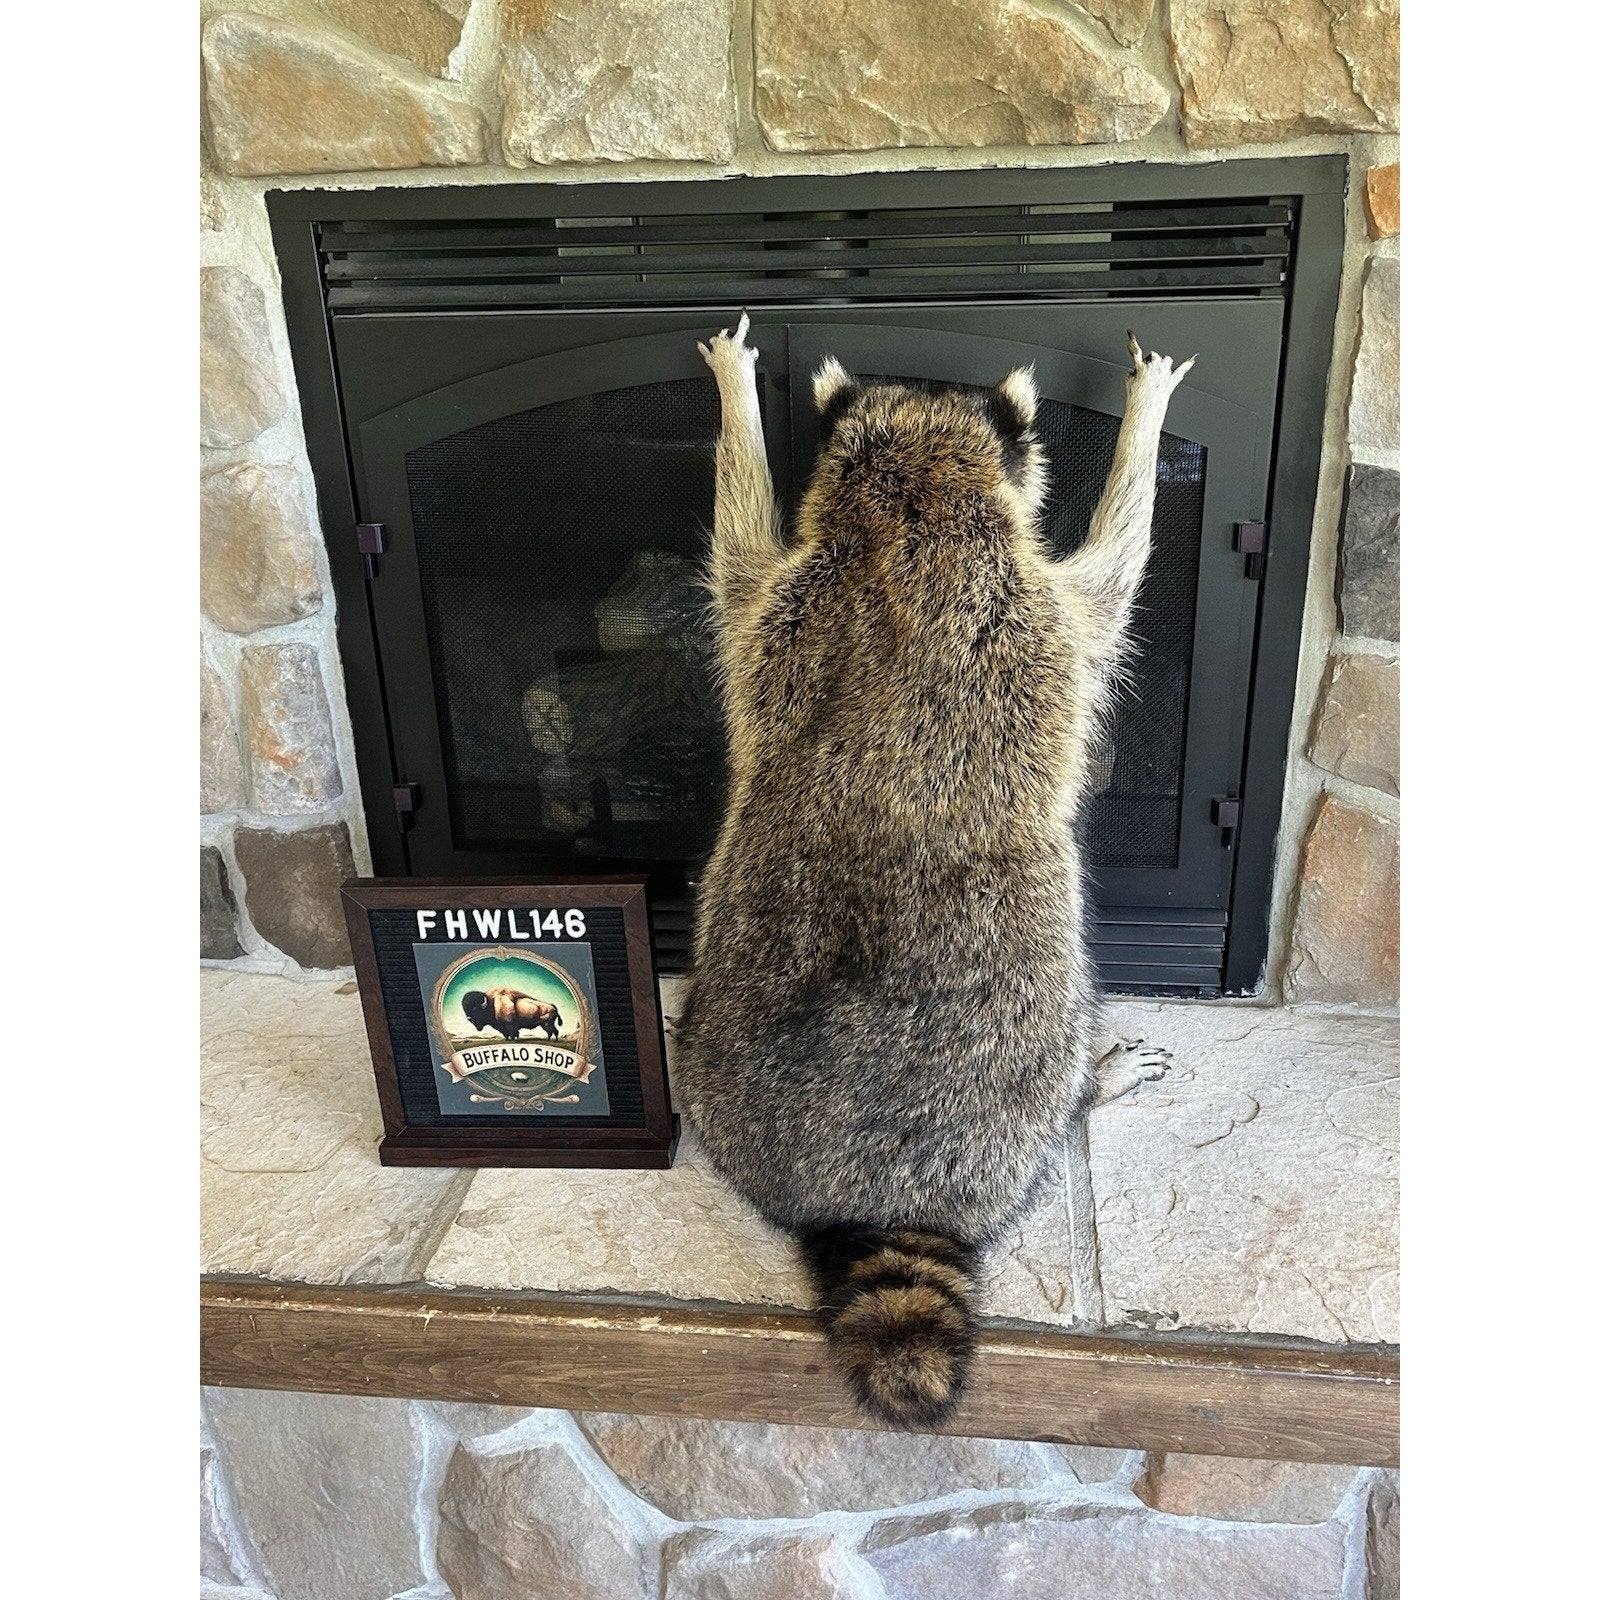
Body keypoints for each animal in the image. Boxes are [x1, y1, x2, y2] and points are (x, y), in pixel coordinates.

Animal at [677, 316, 1190, 1427]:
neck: (913, 501)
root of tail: (868, 1195)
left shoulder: (777, 607)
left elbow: (738, 553)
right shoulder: (1045, 604)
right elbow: (1118, 567)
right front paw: (1142, 426)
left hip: (717, 1048)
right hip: (1032, 1016)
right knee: (1065, 1022)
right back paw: (1092, 1082)